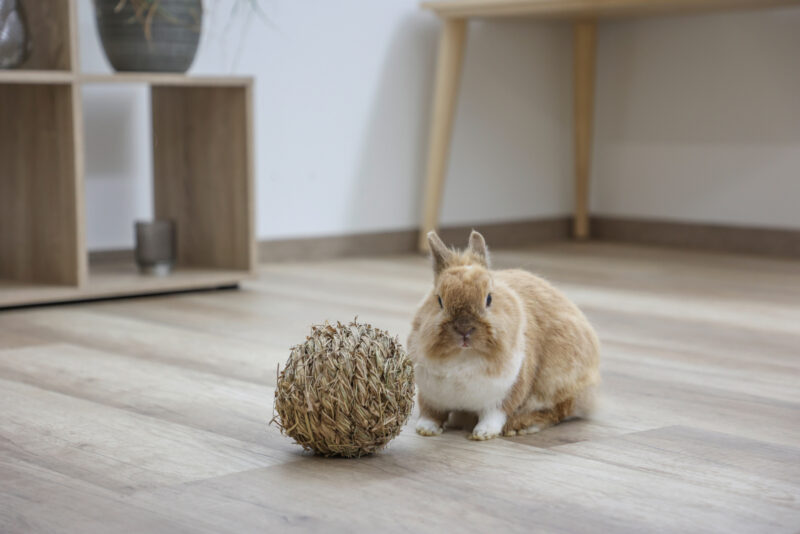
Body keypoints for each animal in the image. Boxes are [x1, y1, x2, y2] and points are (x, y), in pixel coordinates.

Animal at [406, 232, 600, 442]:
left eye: (489, 299)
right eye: (439, 300)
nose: (464, 329)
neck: (463, 356)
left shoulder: (506, 393)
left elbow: (494, 416)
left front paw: (482, 434)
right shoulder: (430, 396)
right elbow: (431, 412)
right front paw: (426, 429)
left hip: (557, 385)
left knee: (560, 410)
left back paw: (521, 425)